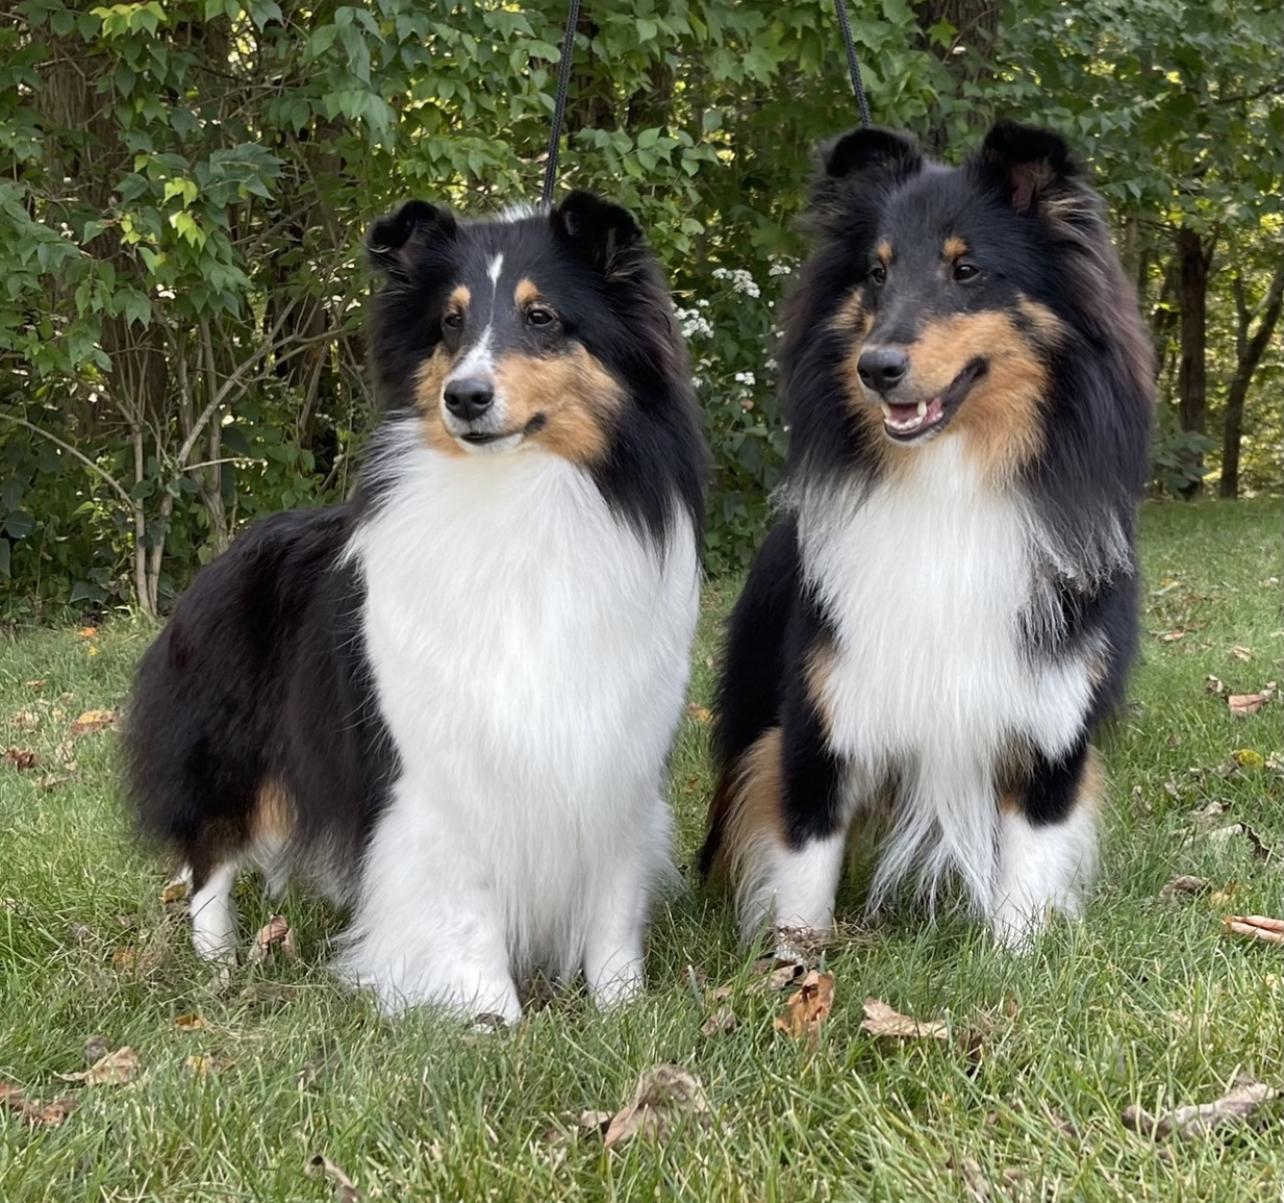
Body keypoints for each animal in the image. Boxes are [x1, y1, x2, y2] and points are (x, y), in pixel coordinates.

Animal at [126, 192, 706, 1020]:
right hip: (229, 752)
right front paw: (489, 1015)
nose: (463, 397)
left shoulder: (616, 755)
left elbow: (613, 902)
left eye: (542, 317)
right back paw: (219, 959)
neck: (518, 499)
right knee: (211, 855)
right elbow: (466, 904)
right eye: (450, 323)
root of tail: (232, 549)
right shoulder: (442, 770)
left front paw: (621, 1005)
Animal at [700, 121, 1152, 949]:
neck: (951, 483)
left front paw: (1015, 956)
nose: (875, 366)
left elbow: (1029, 863)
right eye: (876, 274)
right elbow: (804, 858)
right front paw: (794, 963)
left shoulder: (1049, 720)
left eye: (967, 269)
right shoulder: (822, 712)